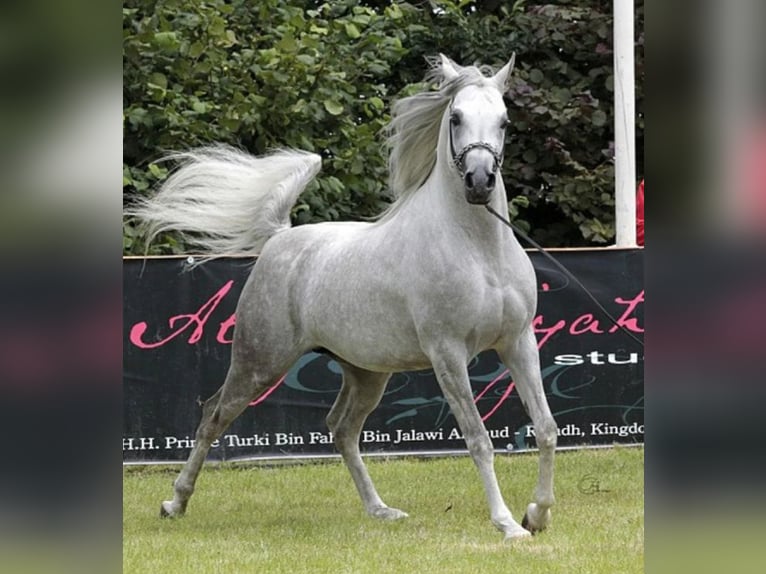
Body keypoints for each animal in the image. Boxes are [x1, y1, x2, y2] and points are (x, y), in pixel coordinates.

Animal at [128, 54, 558, 540]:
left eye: (504, 121)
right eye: (456, 117)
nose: (480, 181)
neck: (480, 250)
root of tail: (280, 239)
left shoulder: (518, 342)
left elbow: (545, 427)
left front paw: (537, 514)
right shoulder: (448, 353)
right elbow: (478, 439)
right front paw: (507, 524)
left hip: (365, 372)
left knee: (342, 429)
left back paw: (381, 509)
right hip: (259, 361)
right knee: (213, 416)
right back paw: (174, 502)